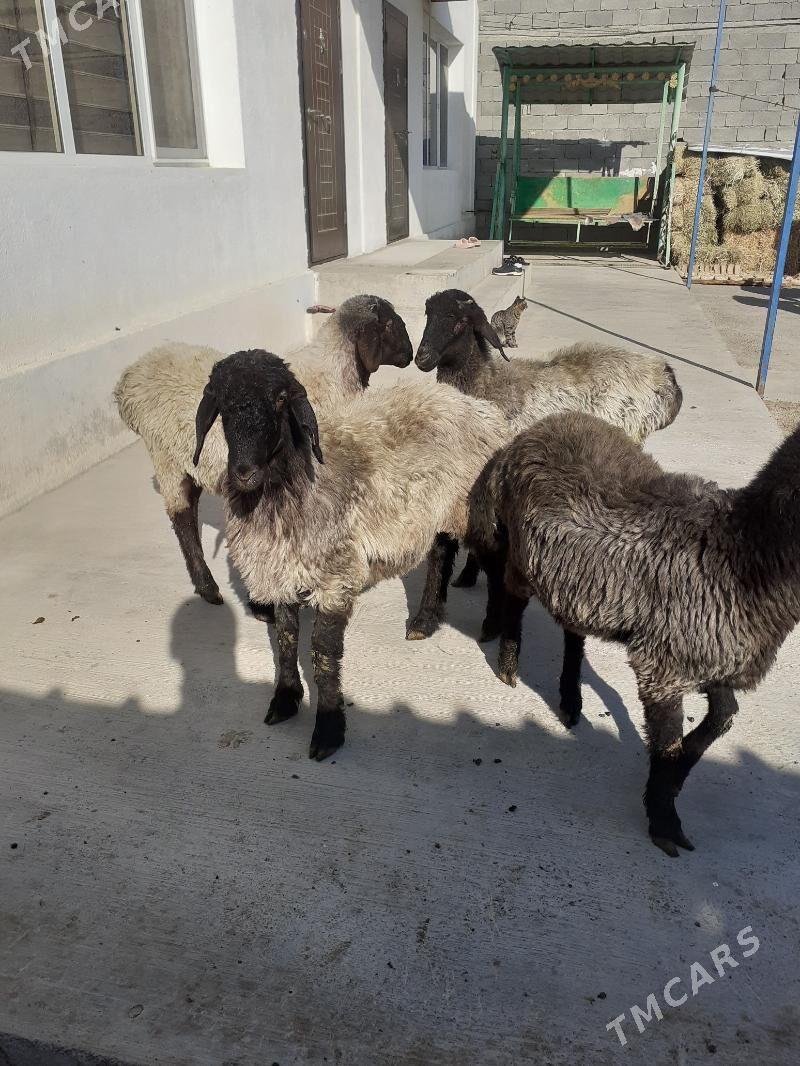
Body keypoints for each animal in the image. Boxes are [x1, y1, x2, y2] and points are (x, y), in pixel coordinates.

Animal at [114, 296, 413, 615]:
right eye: (390, 323)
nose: (410, 356)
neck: (334, 375)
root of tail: (128, 380)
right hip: (165, 457)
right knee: (181, 516)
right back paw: (208, 588)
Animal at [193, 350, 508, 761]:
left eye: (281, 399)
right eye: (223, 404)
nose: (244, 471)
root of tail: (473, 404)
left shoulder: (335, 577)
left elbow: (323, 652)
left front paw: (328, 728)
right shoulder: (282, 571)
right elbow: (287, 637)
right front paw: (286, 698)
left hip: (469, 507)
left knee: (496, 561)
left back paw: (495, 628)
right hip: (436, 508)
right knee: (441, 552)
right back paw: (425, 620)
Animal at [414, 289, 682, 611]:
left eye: (460, 320)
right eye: (428, 313)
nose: (422, 357)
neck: (487, 384)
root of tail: (664, 375)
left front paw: (468, 574)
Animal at [474, 410, 800, 856]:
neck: (744, 554)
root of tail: (536, 430)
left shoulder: (711, 653)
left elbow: (723, 719)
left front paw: (676, 781)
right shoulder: (664, 665)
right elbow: (667, 743)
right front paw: (664, 823)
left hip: (578, 583)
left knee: (573, 632)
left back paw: (570, 699)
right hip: (526, 555)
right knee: (513, 595)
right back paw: (509, 663)